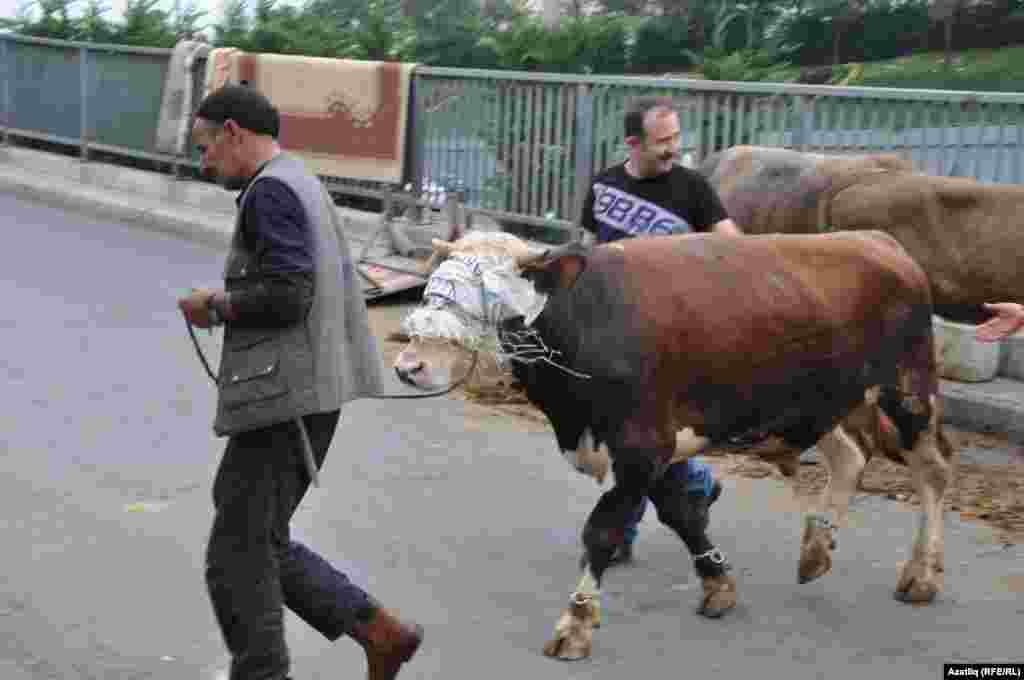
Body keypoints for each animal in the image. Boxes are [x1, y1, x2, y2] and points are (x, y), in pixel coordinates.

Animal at [389, 227, 950, 659]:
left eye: (487, 296)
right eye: (432, 290)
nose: (409, 366)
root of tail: (877, 239)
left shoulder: (640, 445)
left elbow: (602, 532)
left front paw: (576, 624)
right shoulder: (652, 450)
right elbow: (682, 513)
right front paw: (718, 584)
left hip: (908, 390)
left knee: (933, 471)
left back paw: (921, 574)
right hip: (819, 401)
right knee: (850, 455)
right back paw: (816, 549)